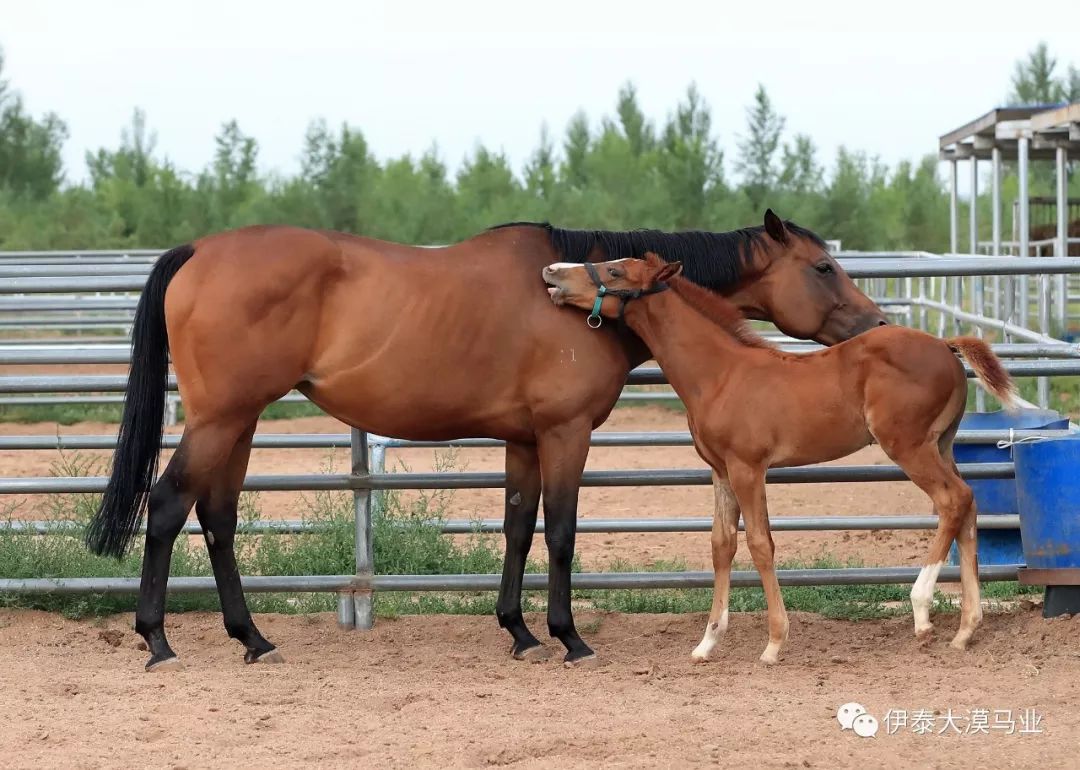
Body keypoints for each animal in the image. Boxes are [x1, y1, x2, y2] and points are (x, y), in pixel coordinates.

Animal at [86, 208, 885, 665]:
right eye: (823, 266)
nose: (877, 326)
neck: (577, 302)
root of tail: (198, 251)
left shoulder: (524, 441)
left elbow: (517, 529)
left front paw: (519, 631)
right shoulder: (565, 435)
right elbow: (560, 533)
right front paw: (568, 638)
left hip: (240, 421)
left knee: (217, 518)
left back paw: (251, 639)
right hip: (221, 419)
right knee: (168, 507)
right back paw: (157, 641)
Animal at [544, 252, 1015, 660]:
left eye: (615, 271)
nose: (552, 272)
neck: (721, 374)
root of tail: (945, 345)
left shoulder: (748, 468)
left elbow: (759, 543)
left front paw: (773, 643)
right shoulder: (720, 471)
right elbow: (722, 544)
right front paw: (707, 643)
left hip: (909, 446)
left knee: (952, 500)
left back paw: (921, 611)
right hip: (943, 444)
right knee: (969, 505)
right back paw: (966, 629)